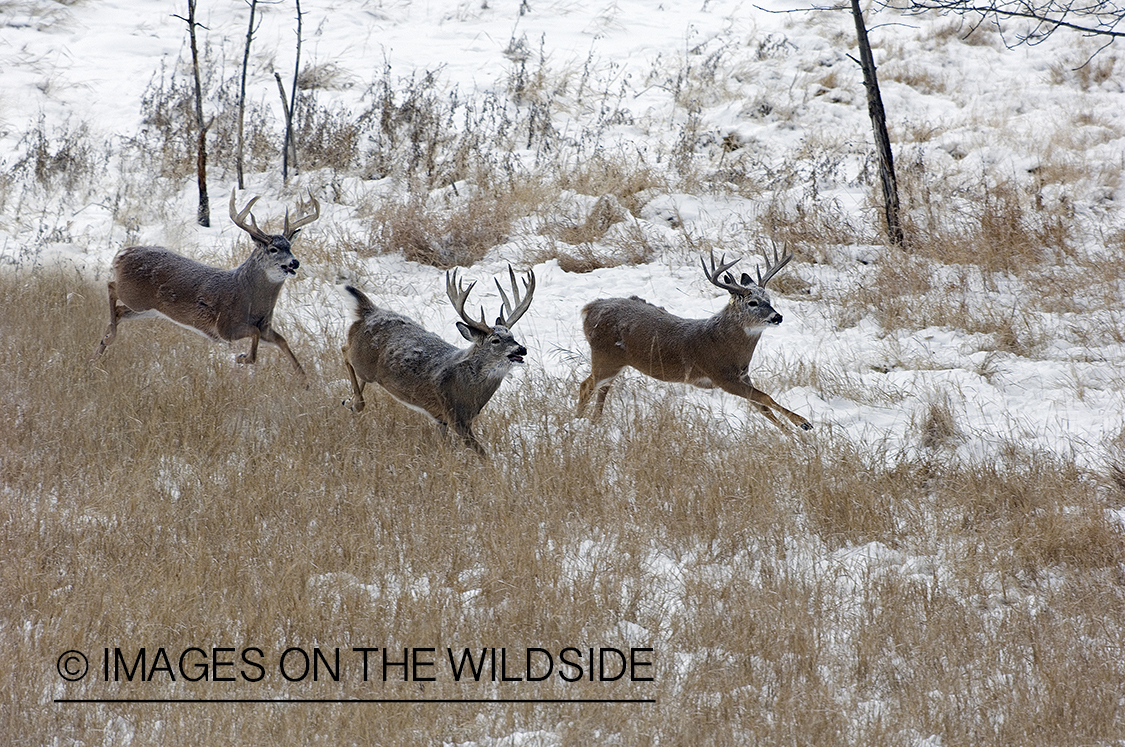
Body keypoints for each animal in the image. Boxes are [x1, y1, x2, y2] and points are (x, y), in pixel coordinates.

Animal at [90, 186, 321, 375]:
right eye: (273, 249)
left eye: (290, 247)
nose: (294, 263)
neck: (249, 299)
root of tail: (121, 254)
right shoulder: (226, 327)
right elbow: (254, 337)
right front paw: (242, 357)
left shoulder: (265, 327)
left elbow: (283, 341)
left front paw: (305, 381)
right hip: (135, 296)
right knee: (111, 286)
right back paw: (109, 338)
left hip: (146, 308)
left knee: (119, 311)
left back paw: (97, 355)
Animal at [342, 266, 535, 454]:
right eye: (495, 340)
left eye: (512, 336)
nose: (522, 349)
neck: (469, 388)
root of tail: (370, 312)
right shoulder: (455, 416)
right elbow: (483, 455)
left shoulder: (442, 419)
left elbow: (442, 446)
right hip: (363, 363)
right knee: (345, 351)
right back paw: (356, 404)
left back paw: (350, 402)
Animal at [580, 247, 810, 429]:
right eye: (752, 302)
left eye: (769, 299)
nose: (777, 317)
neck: (724, 345)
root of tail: (589, 309)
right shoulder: (720, 375)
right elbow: (765, 397)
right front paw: (803, 423)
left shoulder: (744, 375)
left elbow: (763, 407)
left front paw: (793, 435)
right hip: (605, 356)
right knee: (586, 385)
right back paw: (577, 421)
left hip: (615, 362)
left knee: (602, 388)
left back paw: (594, 421)